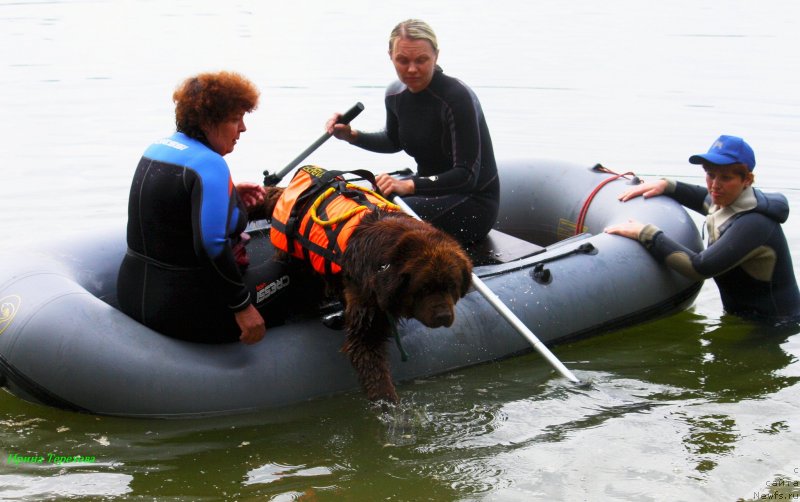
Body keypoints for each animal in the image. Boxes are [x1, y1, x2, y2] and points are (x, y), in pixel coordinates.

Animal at [260, 169, 472, 404]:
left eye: (451, 286)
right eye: (423, 289)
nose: (444, 316)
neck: (385, 264)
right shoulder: (366, 306)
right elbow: (372, 364)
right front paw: (391, 405)